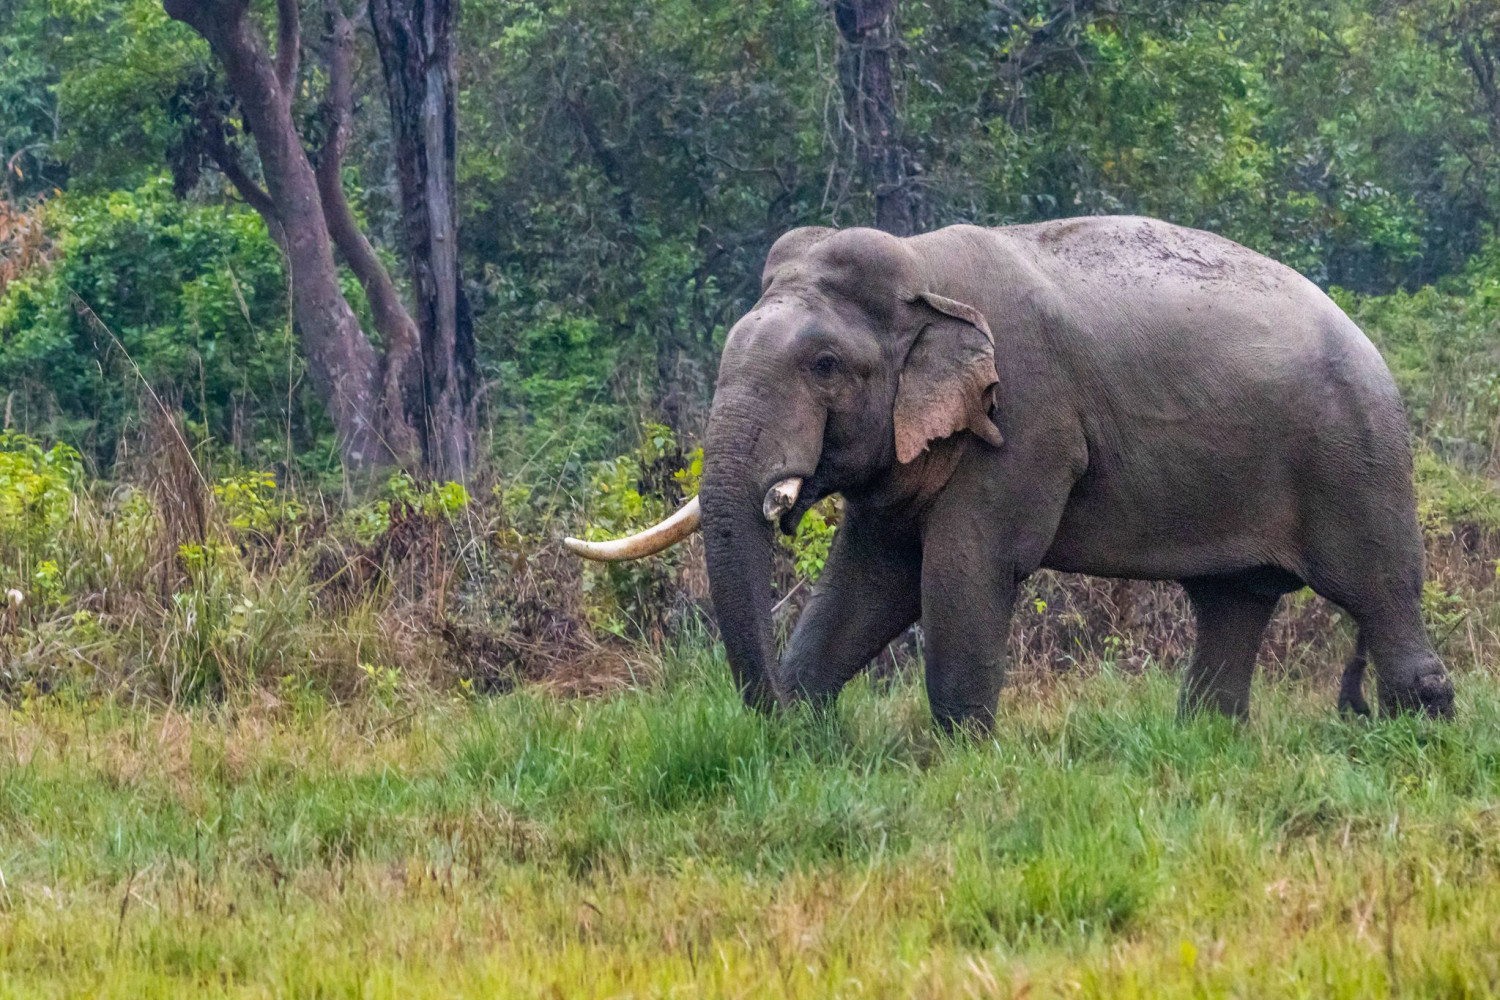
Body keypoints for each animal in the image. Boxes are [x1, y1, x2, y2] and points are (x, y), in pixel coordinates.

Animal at [564, 217, 1452, 728]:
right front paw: (803, 726)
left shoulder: (1026, 420)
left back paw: (1422, 723)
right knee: (1232, 602)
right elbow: (874, 575)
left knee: (1376, 589)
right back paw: (1206, 738)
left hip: (1357, 456)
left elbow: (967, 567)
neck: (922, 271)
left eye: (824, 365)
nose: (777, 717)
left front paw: (962, 754)